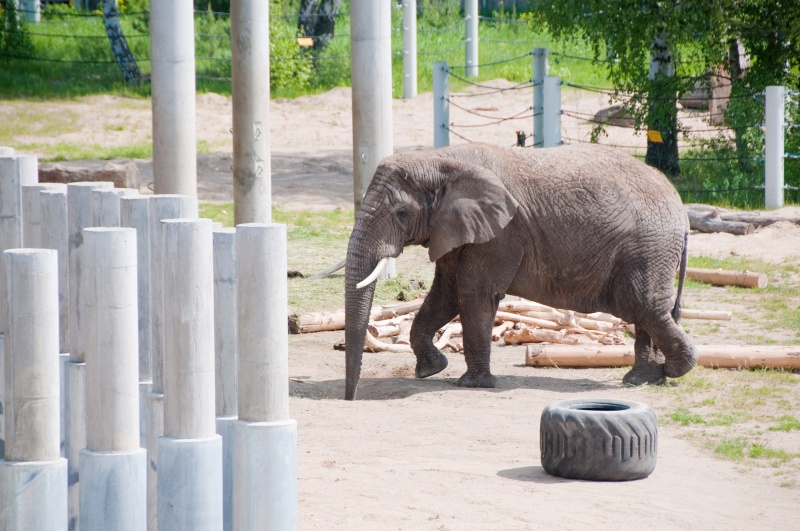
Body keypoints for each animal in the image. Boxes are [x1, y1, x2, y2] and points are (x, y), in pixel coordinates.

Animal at [342, 143, 692, 402]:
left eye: (401, 213)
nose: (350, 399)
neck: (439, 159)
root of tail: (682, 208)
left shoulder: (501, 233)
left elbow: (473, 295)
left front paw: (472, 385)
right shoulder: (457, 229)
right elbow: (445, 295)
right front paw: (431, 370)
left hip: (649, 246)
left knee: (642, 305)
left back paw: (674, 370)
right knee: (643, 309)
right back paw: (643, 379)